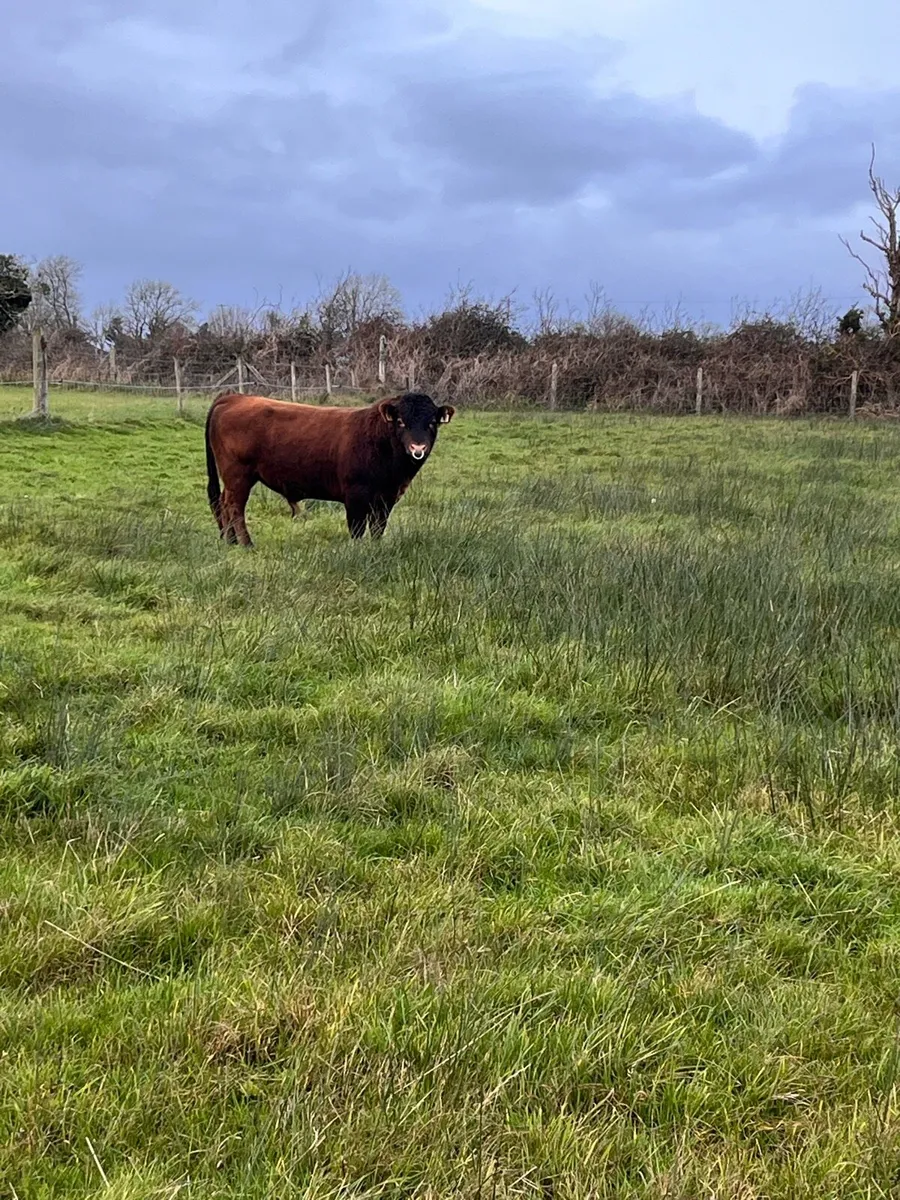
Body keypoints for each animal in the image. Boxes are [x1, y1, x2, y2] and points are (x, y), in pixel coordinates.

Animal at [204, 390, 455, 546]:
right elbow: (357, 529)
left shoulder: (387, 498)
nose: (418, 447)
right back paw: (246, 543)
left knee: (224, 504)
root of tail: (234, 397)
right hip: (238, 475)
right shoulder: (356, 495)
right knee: (235, 507)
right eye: (401, 421)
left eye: (432, 422)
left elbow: (378, 528)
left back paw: (230, 541)